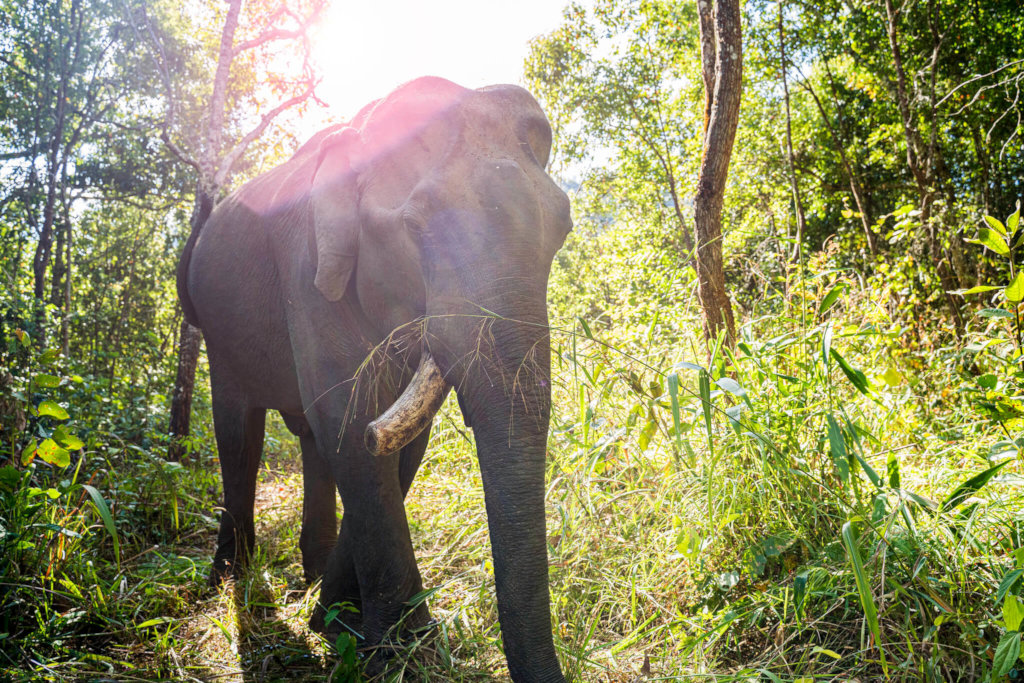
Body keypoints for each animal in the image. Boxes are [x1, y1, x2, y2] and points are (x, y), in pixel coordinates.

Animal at [179, 76, 573, 683]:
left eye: (564, 226)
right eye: (414, 227)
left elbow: (392, 435)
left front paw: (335, 621)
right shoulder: (308, 271)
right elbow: (349, 415)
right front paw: (399, 653)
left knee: (310, 439)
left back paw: (313, 572)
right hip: (220, 333)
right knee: (239, 432)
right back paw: (230, 576)